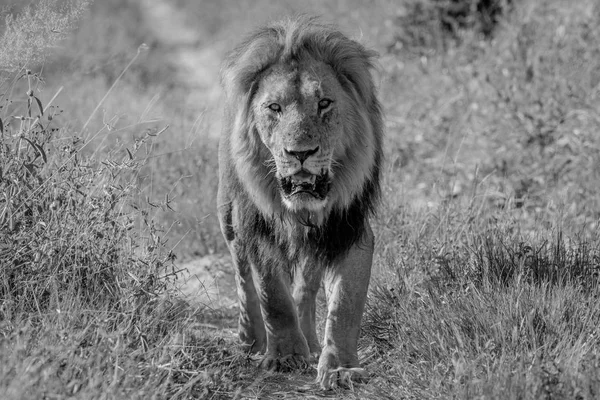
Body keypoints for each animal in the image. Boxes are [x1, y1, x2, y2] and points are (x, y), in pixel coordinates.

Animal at [218, 17, 382, 390]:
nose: (300, 153)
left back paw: (309, 339)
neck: (302, 209)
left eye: (324, 103)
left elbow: (345, 304)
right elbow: (272, 297)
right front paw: (285, 355)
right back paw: (251, 340)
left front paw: (339, 367)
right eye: (274, 108)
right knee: (242, 278)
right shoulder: (259, 231)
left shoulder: (348, 231)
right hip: (229, 219)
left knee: (306, 285)